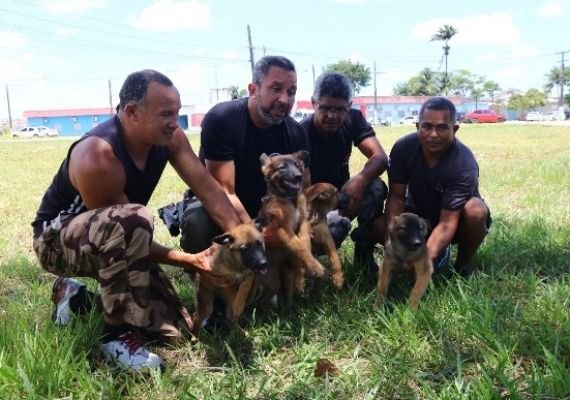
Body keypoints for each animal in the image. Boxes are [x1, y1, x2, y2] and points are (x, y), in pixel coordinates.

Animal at [258, 151, 324, 306]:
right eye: (282, 167)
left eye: (297, 165)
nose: (298, 176)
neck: (290, 200)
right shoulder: (282, 228)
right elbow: (298, 245)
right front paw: (315, 267)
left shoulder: (302, 222)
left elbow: (304, 242)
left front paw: (310, 264)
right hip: (273, 282)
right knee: (263, 301)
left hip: (285, 276)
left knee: (289, 293)